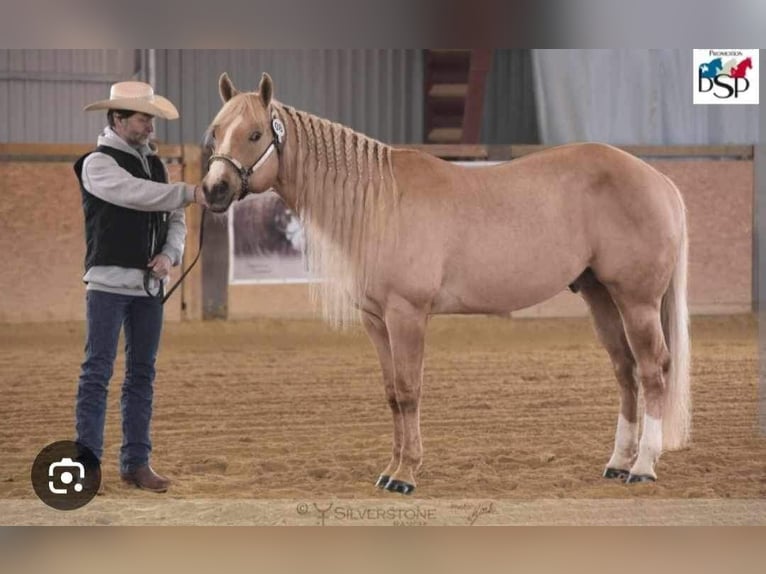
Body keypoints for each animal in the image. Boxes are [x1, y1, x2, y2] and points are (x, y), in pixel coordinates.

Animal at [201, 71, 692, 496]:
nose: (213, 189)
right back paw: (617, 463)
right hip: (600, 296)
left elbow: (410, 391)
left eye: (255, 135)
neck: (381, 202)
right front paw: (390, 469)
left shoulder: (407, 314)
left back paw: (643, 466)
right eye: (215, 131)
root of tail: (660, 180)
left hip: (637, 301)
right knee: (625, 371)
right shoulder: (376, 320)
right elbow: (392, 394)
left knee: (652, 370)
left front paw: (406, 475)